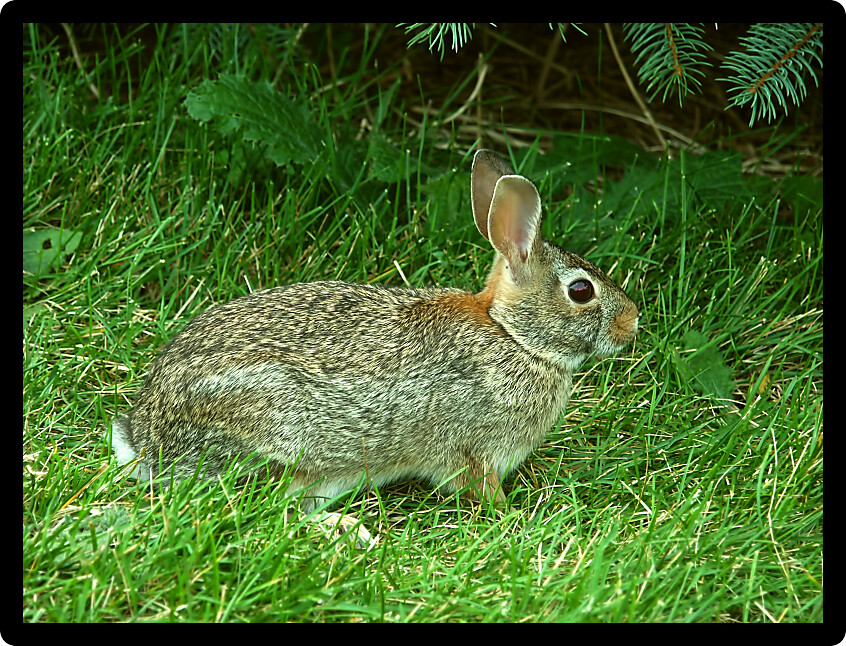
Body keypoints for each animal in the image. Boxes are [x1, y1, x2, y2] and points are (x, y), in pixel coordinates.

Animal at [109, 149, 639, 511]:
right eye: (581, 291)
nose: (632, 322)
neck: (513, 336)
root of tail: (144, 439)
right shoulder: (472, 451)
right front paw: (510, 516)